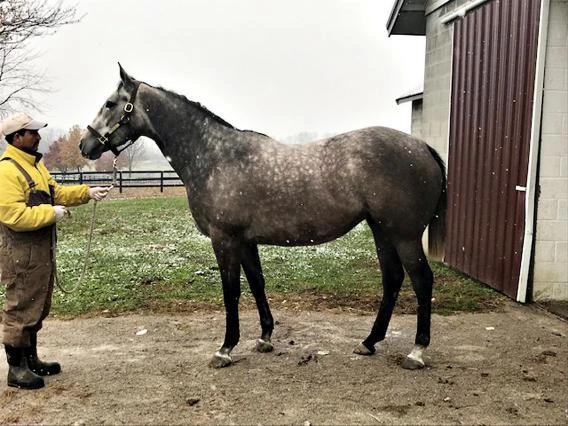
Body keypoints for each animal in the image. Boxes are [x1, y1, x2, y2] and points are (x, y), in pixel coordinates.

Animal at [79, 65, 448, 370]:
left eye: (110, 103)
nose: (86, 145)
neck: (216, 157)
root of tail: (422, 147)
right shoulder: (245, 241)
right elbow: (257, 283)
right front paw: (264, 337)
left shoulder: (224, 239)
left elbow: (230, 291)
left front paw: (225, 349)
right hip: (381, 230)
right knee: (392, 280)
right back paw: (369, 342)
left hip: (403, 235)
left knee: (421, 280)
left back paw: (416, 352)